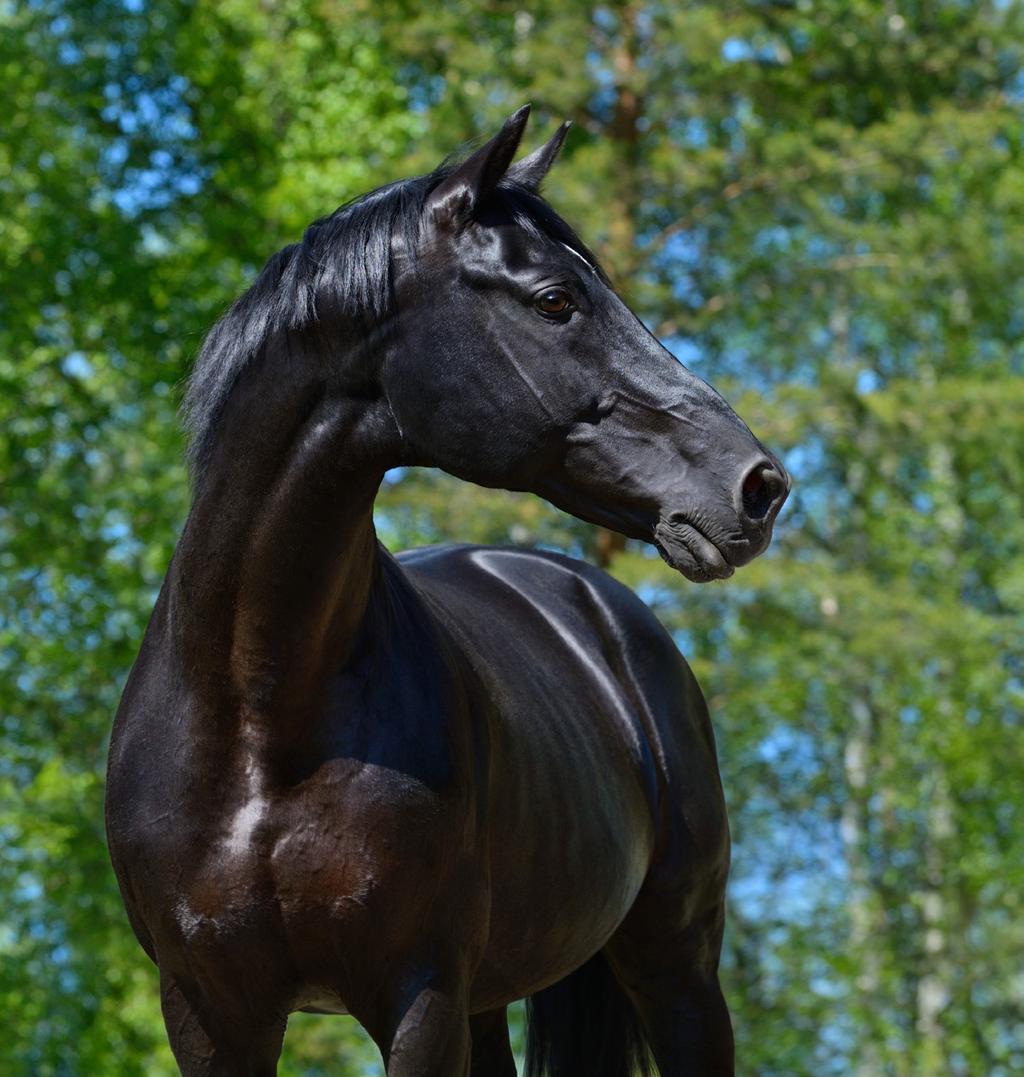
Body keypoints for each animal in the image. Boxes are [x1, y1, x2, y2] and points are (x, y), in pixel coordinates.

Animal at [106, 102, 792, 1077]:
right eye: (555, 299)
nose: (758, 486)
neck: (254, 706)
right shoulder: (208, 1010)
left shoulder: (418, 994)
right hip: (496, 998)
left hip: (678, 967)